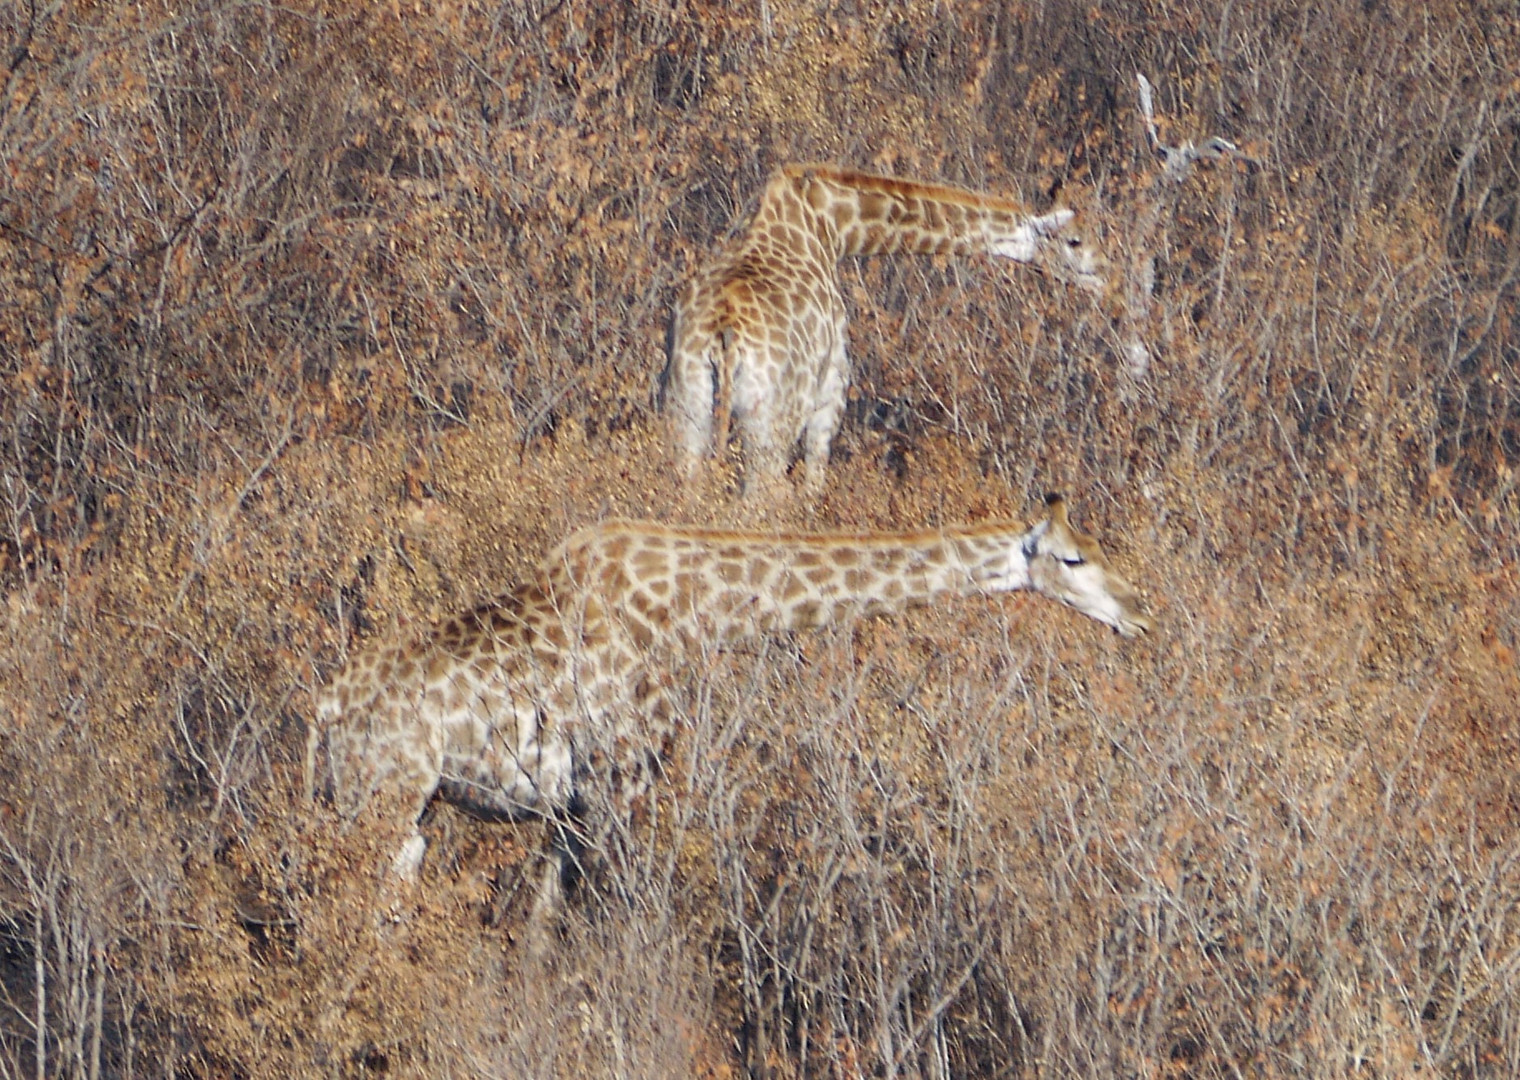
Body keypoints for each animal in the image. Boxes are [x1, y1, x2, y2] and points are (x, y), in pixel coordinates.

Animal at [305, 492, 1143, 893]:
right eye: (1072, 559)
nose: (1139, 613)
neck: (691, 611)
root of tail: (324, 711)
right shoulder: (625, 776)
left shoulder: (573, 803)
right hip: (382, 797)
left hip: (396, 808)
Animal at [665, 164, 1106, 489]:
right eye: (1074, 240)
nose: (1106, 275)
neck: (832, 228)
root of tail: (725, 336)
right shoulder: (831, 391)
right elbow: (813, 485)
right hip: (772, 419)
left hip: (689, 410)